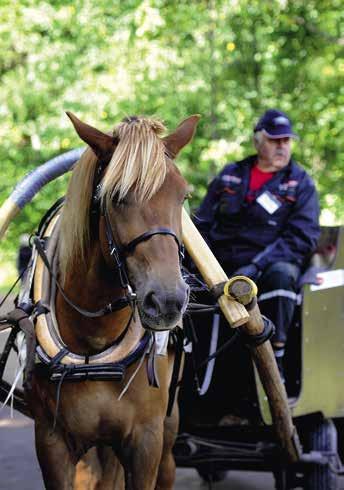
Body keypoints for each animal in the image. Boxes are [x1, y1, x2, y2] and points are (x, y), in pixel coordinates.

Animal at [26, 113, 200, 488]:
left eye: (182, 196)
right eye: (116, 196)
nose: (167, 300)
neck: (95, 341)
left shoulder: (146, 441)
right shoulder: (51, 441)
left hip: (167, 432)